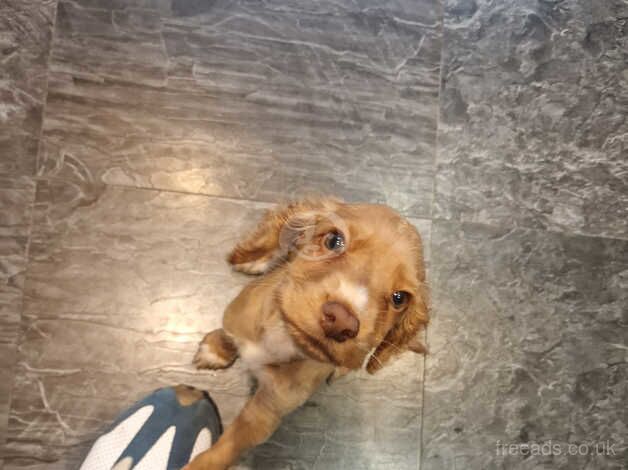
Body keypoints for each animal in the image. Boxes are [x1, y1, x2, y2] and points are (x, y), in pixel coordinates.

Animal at [185, 197, 426, 470]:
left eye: (399, 298)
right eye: (333, 240)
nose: (341, 322)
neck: (283, 337)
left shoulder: (268, 411)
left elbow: (224, 449)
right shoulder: (236, 318)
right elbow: (228, 333)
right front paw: (216, 349)